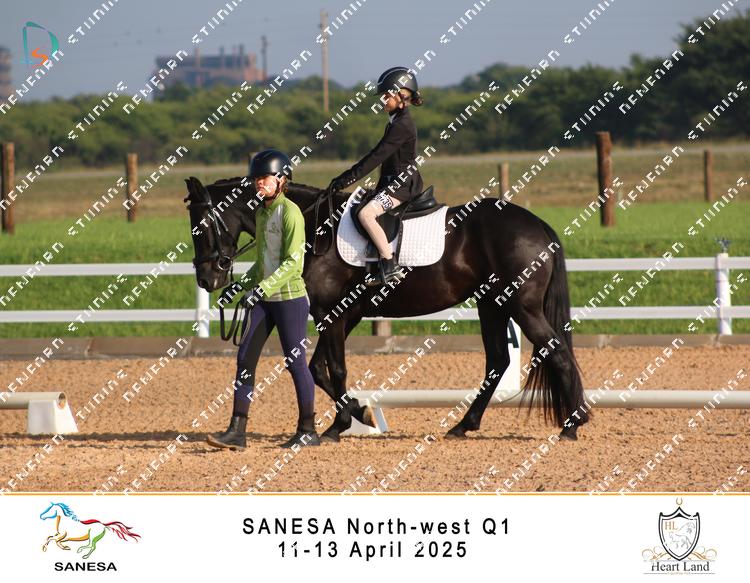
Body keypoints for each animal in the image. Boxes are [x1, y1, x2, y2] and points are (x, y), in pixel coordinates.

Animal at [184, 176, 589, 443]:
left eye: (201, 226)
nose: (206, 278)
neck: (315, 227)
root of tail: (538, 225)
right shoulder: (344, 315)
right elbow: (319, 369)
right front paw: (354, 415)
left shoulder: (333, 312)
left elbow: (335, 369)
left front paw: (339, 424)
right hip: (492, 304)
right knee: (498, 361)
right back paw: (463, 425)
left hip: (520, 306)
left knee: (556, 353)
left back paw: (572, 425)